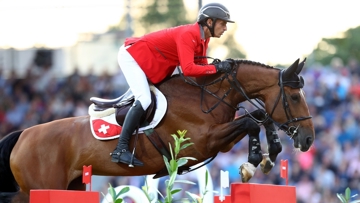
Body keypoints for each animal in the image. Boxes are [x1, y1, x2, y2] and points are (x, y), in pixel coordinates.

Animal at [0, 58, 314, 202]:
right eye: (294, 97)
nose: (309, 139)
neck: (209, 95)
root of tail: (23, 135)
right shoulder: (204, 142)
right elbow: (250, 121)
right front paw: (252, 164)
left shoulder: (219, 140)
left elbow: (259, 116)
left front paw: (271, 154)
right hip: (42, 187)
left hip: (68, 186)